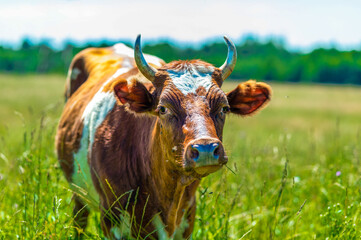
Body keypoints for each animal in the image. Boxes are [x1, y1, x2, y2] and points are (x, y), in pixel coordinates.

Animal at [55, 34, 270, 239]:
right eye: (163, 108)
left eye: (224, 108)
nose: (206, 149)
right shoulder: (110, 216)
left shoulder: (187, 216)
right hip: (78, 193)